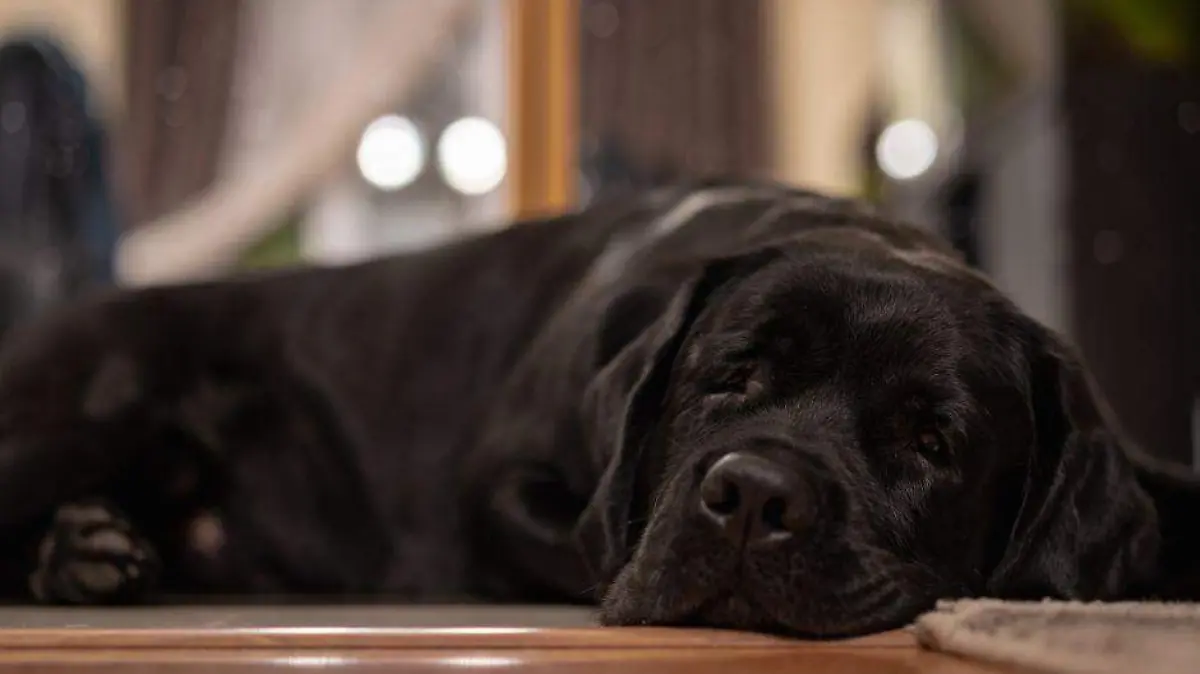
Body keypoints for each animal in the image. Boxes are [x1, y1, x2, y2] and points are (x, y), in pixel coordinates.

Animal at [2, 179, 1200, 633]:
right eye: (731, 376)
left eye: (931, 439)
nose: (754, 496)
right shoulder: (503, 485)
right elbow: (591, 541)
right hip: (101, 400)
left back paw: (93, 552)